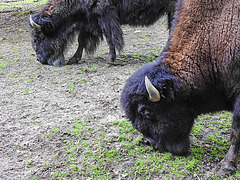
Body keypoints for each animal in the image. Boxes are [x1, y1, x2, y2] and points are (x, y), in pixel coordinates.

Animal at [28, 0, 176, 66]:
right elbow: (81, 40)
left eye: (39, 37)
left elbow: (110, 38)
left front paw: (110, 60)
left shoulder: (105, 15)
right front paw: (74, 59)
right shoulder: (89, 20)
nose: (39, 59)